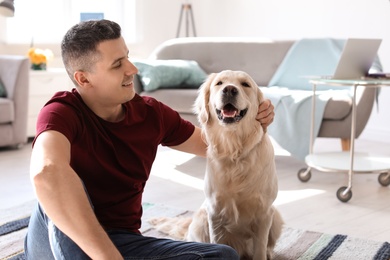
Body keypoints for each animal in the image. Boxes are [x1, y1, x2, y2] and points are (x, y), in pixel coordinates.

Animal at [148, 70, 282, 258]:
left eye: (245, 84)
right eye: (219, 83)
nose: (230, 90)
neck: (234, 149)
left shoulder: (264, 212)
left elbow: (260, 249)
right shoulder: (215, 212)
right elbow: (217, 242)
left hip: (275, 215)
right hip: (201, 219)